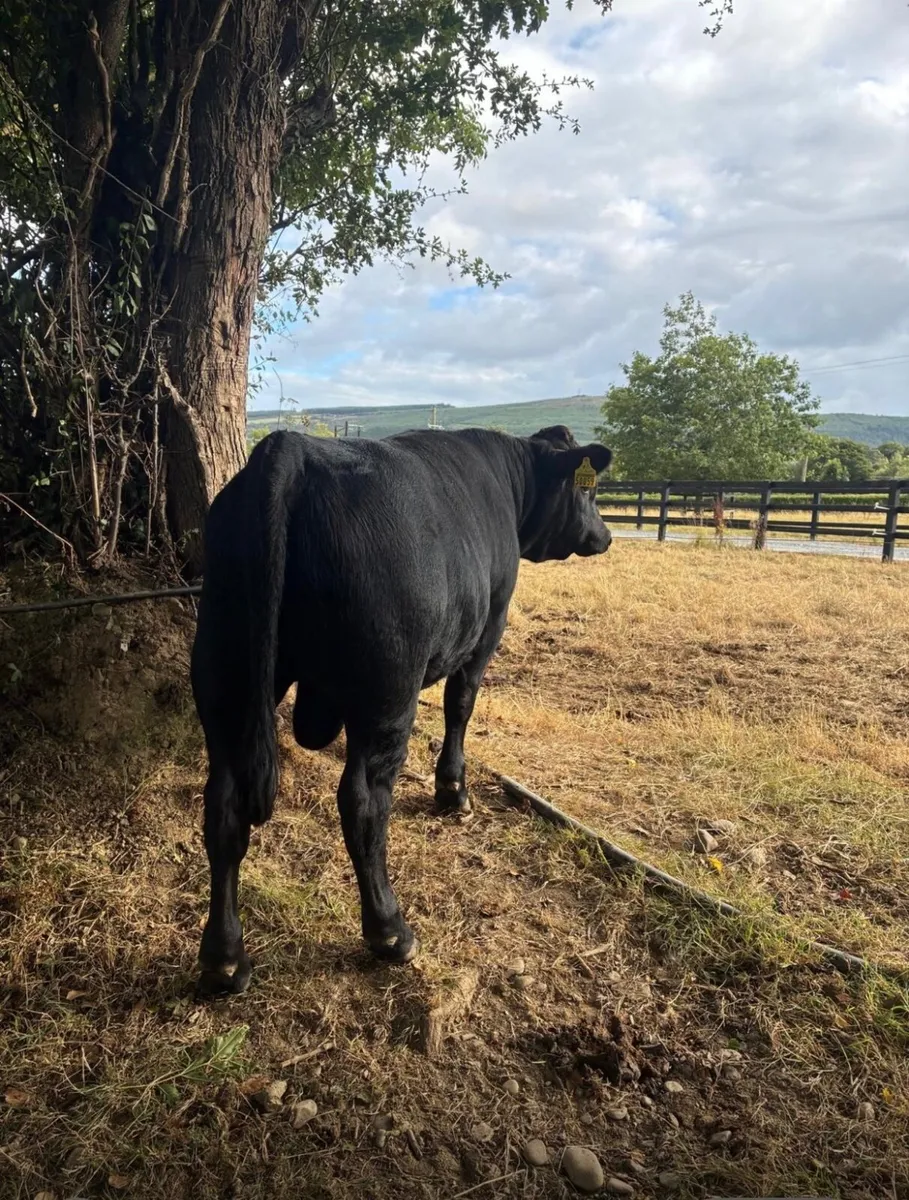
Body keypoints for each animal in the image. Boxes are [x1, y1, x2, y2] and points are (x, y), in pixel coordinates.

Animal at [191, 424, 612, 994]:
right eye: (588, 491)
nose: (605, 536)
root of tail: (292, 447)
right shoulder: (485, 633)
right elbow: (461, 707)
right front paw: (453, 792)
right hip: (387, 693)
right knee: (363, 802)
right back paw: (390, 930)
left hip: (225, 672)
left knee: (225, 805)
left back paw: (224, 959)